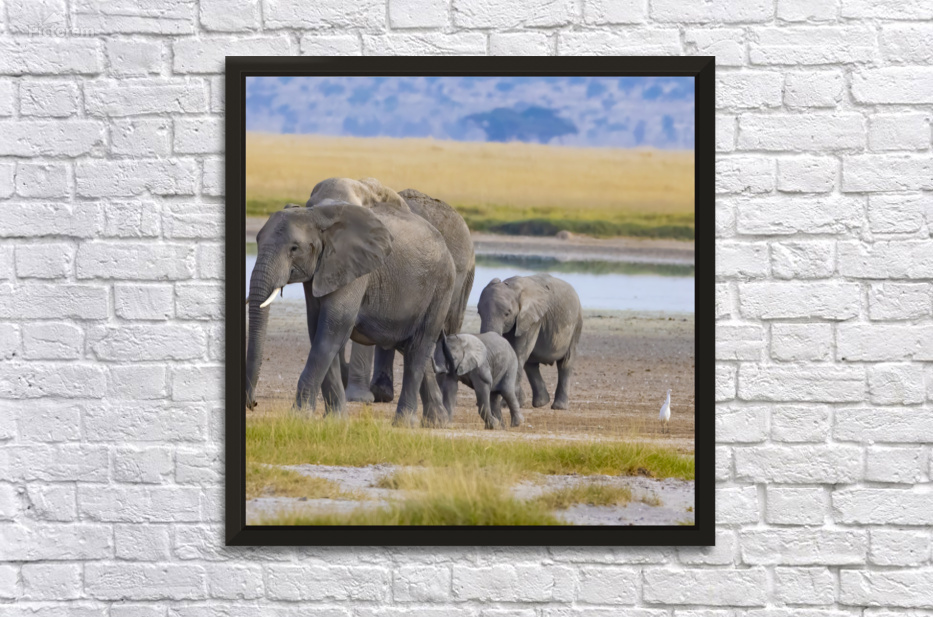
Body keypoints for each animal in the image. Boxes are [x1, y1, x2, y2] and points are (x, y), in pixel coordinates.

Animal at [245, 202, 456, 427]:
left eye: (294, 248)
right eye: (257, 241)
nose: (253, 404)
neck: (316, 215)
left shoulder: (354, 270)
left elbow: (332, 329)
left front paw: (299, 417)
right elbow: (317, 329)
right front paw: (335, 420)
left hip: (441, 289)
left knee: (418, 350)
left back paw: (403, 423)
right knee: (412, 349)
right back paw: (437, 422)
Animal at [478, 274, 583, 411]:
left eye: (507, 313)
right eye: (479, 312)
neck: (512, 287)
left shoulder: (532, 320)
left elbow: (518, 353)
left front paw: (506, 405)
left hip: (576, 325)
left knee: (565, 363)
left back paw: (559, 407)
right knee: (531, 364)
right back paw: (541, 403)